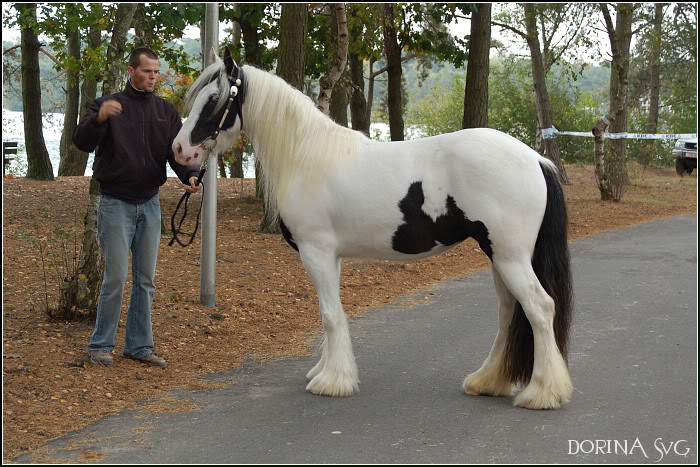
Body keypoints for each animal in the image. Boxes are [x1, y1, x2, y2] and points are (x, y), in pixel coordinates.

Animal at [174, 48, 576, 410]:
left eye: (214, 99)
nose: (179, 150)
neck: (306, 157)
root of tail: (535, 159)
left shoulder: (316, 252)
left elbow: (330, 315)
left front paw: (331, 382)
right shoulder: (330, 256)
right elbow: (330, 312)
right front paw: (326, 369)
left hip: (509, 257)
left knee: (539, 308)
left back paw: (541, 393)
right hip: (499, 256)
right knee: (509, 311)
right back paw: (488, 381)